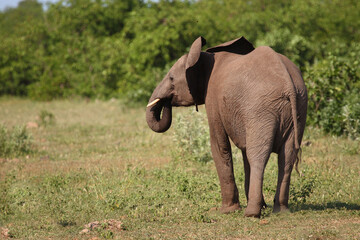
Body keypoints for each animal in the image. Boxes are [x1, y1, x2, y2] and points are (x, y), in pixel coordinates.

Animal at [145, 36, 308, 218]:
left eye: (172, 78)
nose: (166, 101)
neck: (204, 57)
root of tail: (288, 84)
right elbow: (244, 151)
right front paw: (262, 206)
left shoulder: (213, 99)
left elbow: (219, 146)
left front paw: (227, 210)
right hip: (298, 107)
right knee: (287, 156)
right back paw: (281, 211)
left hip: (261, 109)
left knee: (258, 155)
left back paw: (251, 214)